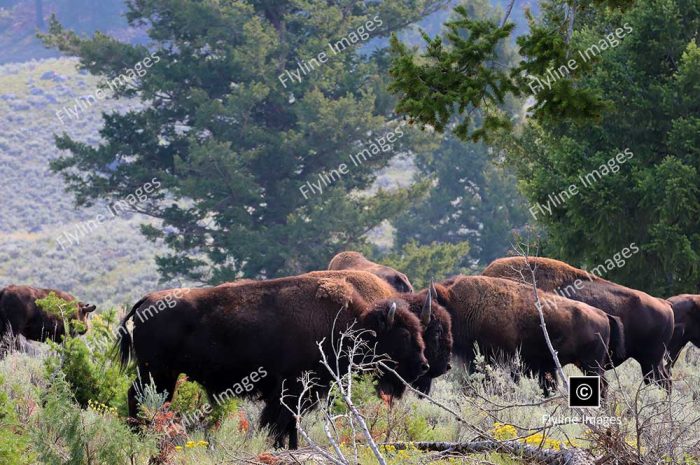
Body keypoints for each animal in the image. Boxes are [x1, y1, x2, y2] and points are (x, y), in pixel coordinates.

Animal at [117, 274, 430, 448]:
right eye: (403, 335)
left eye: (419, 330)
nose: (423, 365)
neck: (347, 325)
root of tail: (145, 301)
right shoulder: (290, 388)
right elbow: (282, 422)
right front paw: (282, 447)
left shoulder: (297, 392)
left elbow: (289, 422)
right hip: (157, 373)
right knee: (140, 398)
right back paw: (138, 436)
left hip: (161, 375)